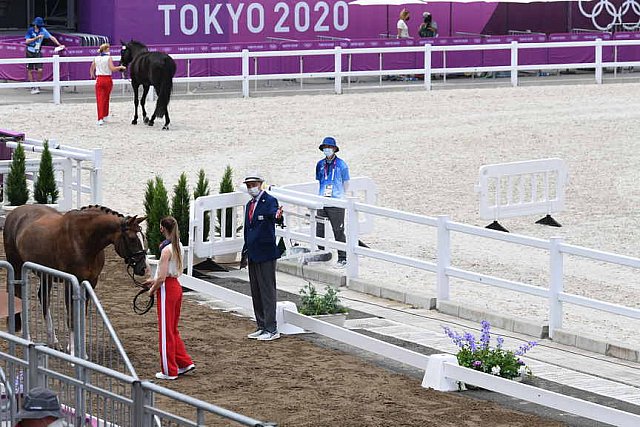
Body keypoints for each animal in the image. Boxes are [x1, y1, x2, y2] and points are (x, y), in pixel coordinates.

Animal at [3, 205, 148, 352]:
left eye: (143, 237)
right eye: (132, 238)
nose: (142, 268)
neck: (83, 241)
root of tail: (15, 213)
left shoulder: (91, 282)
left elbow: (81, 314)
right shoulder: (71, 282)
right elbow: (71, 316)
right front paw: (72, 349)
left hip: (46, 274)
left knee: (43, 298)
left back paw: (53, 341)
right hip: (16, 266)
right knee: (18, 295)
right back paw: (26, 336)